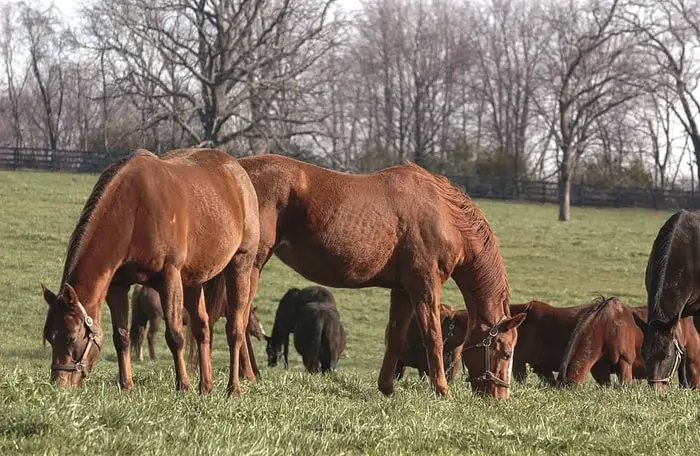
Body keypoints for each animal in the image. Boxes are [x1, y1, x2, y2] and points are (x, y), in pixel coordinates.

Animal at [41, 149, 260, 396]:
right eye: (49, 337)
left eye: (70, 337)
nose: (58, 385)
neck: (134, 211)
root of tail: (237, 170)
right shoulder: (117, 286)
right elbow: (122, 337)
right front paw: (126, 386)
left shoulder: (169, 277)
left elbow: (174, 335)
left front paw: (182, 386)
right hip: (192, 281)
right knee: (202, 327)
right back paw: (206, 386)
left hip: (240, 265)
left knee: (235, 330)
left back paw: (233, 388)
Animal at [241, 154, 524, 400]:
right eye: (506, 353)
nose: (500, 397)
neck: (445, 215)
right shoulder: (424, 285)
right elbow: (433, 337)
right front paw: (443, 391)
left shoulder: (402, 291)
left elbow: (395, 337)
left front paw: (386, 387)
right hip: (252, 265)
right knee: (240, 319)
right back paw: (248, 375)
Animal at [644, 211, 700, 392]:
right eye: (644, 354)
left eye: (667, 355)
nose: (656, 390)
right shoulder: (679, 313)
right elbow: (682, 347)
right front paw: (685, 385)